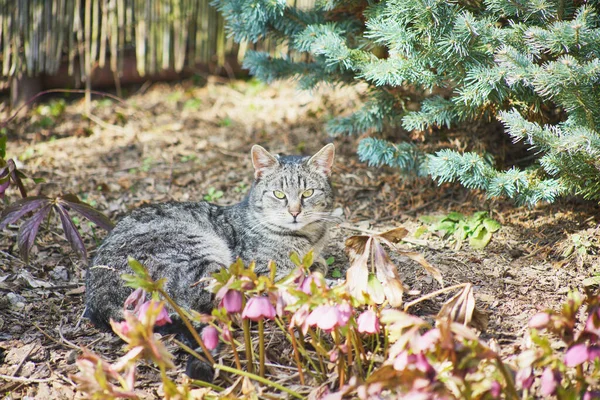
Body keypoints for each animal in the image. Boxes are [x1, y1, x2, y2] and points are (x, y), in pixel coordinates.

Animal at [84, 143, 336, 378]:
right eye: (279, 194)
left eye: (308, 193)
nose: (295, 212)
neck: (307, 237)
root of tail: (98, 298)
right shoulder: (263, 271)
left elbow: (318, 265)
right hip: (197, 256)